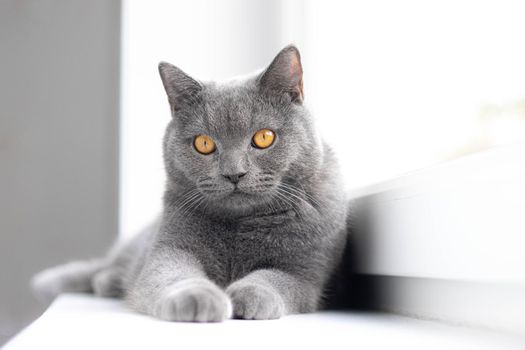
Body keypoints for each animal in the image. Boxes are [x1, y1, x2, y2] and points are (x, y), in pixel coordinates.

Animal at [34, 45, 350, 322]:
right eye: (204, 143)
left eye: (264, 137)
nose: (234, 173)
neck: (239, 226)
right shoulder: (170, 247)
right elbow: (172, 274)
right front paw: (199, 298)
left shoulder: (306, 273)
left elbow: (276, 278)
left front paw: (250, 295)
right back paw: (110, 280)